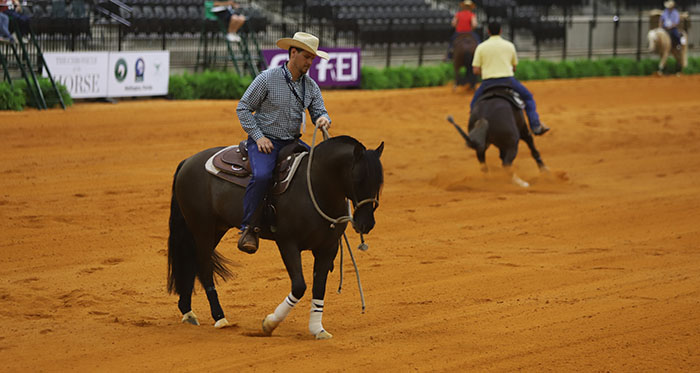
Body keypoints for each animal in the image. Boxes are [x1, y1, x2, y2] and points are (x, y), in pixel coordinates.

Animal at [166, 135, 382, 338]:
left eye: (379, 182)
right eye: (358, 179)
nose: (367, 224)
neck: (313, 187)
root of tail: (188, 161)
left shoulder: (328, 248)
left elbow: (319, 288)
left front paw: (318, 329)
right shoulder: (287, 243)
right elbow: (299, 286)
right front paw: (270, 323)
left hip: (216, 228)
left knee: (191, 262)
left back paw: (188, 312)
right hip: (202, 227)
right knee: (203, 266)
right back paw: (219, 317)